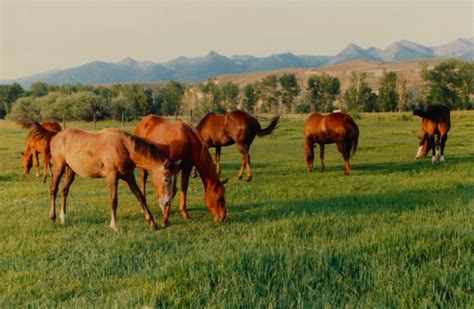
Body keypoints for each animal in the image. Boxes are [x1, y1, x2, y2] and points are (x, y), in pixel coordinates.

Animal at [27, 122, 181, 231]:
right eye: (166, 179)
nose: (167, 202)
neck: (124, 147)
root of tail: (56, 135)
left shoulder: (128, 176)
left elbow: (140, 195)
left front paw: (152, 223)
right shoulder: (112, 176)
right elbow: (113, 200)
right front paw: (114, 226)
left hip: (71, 171)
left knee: (65, 190)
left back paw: (63, 217)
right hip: (59, 168)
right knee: (53, 189)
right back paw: (52, 217)